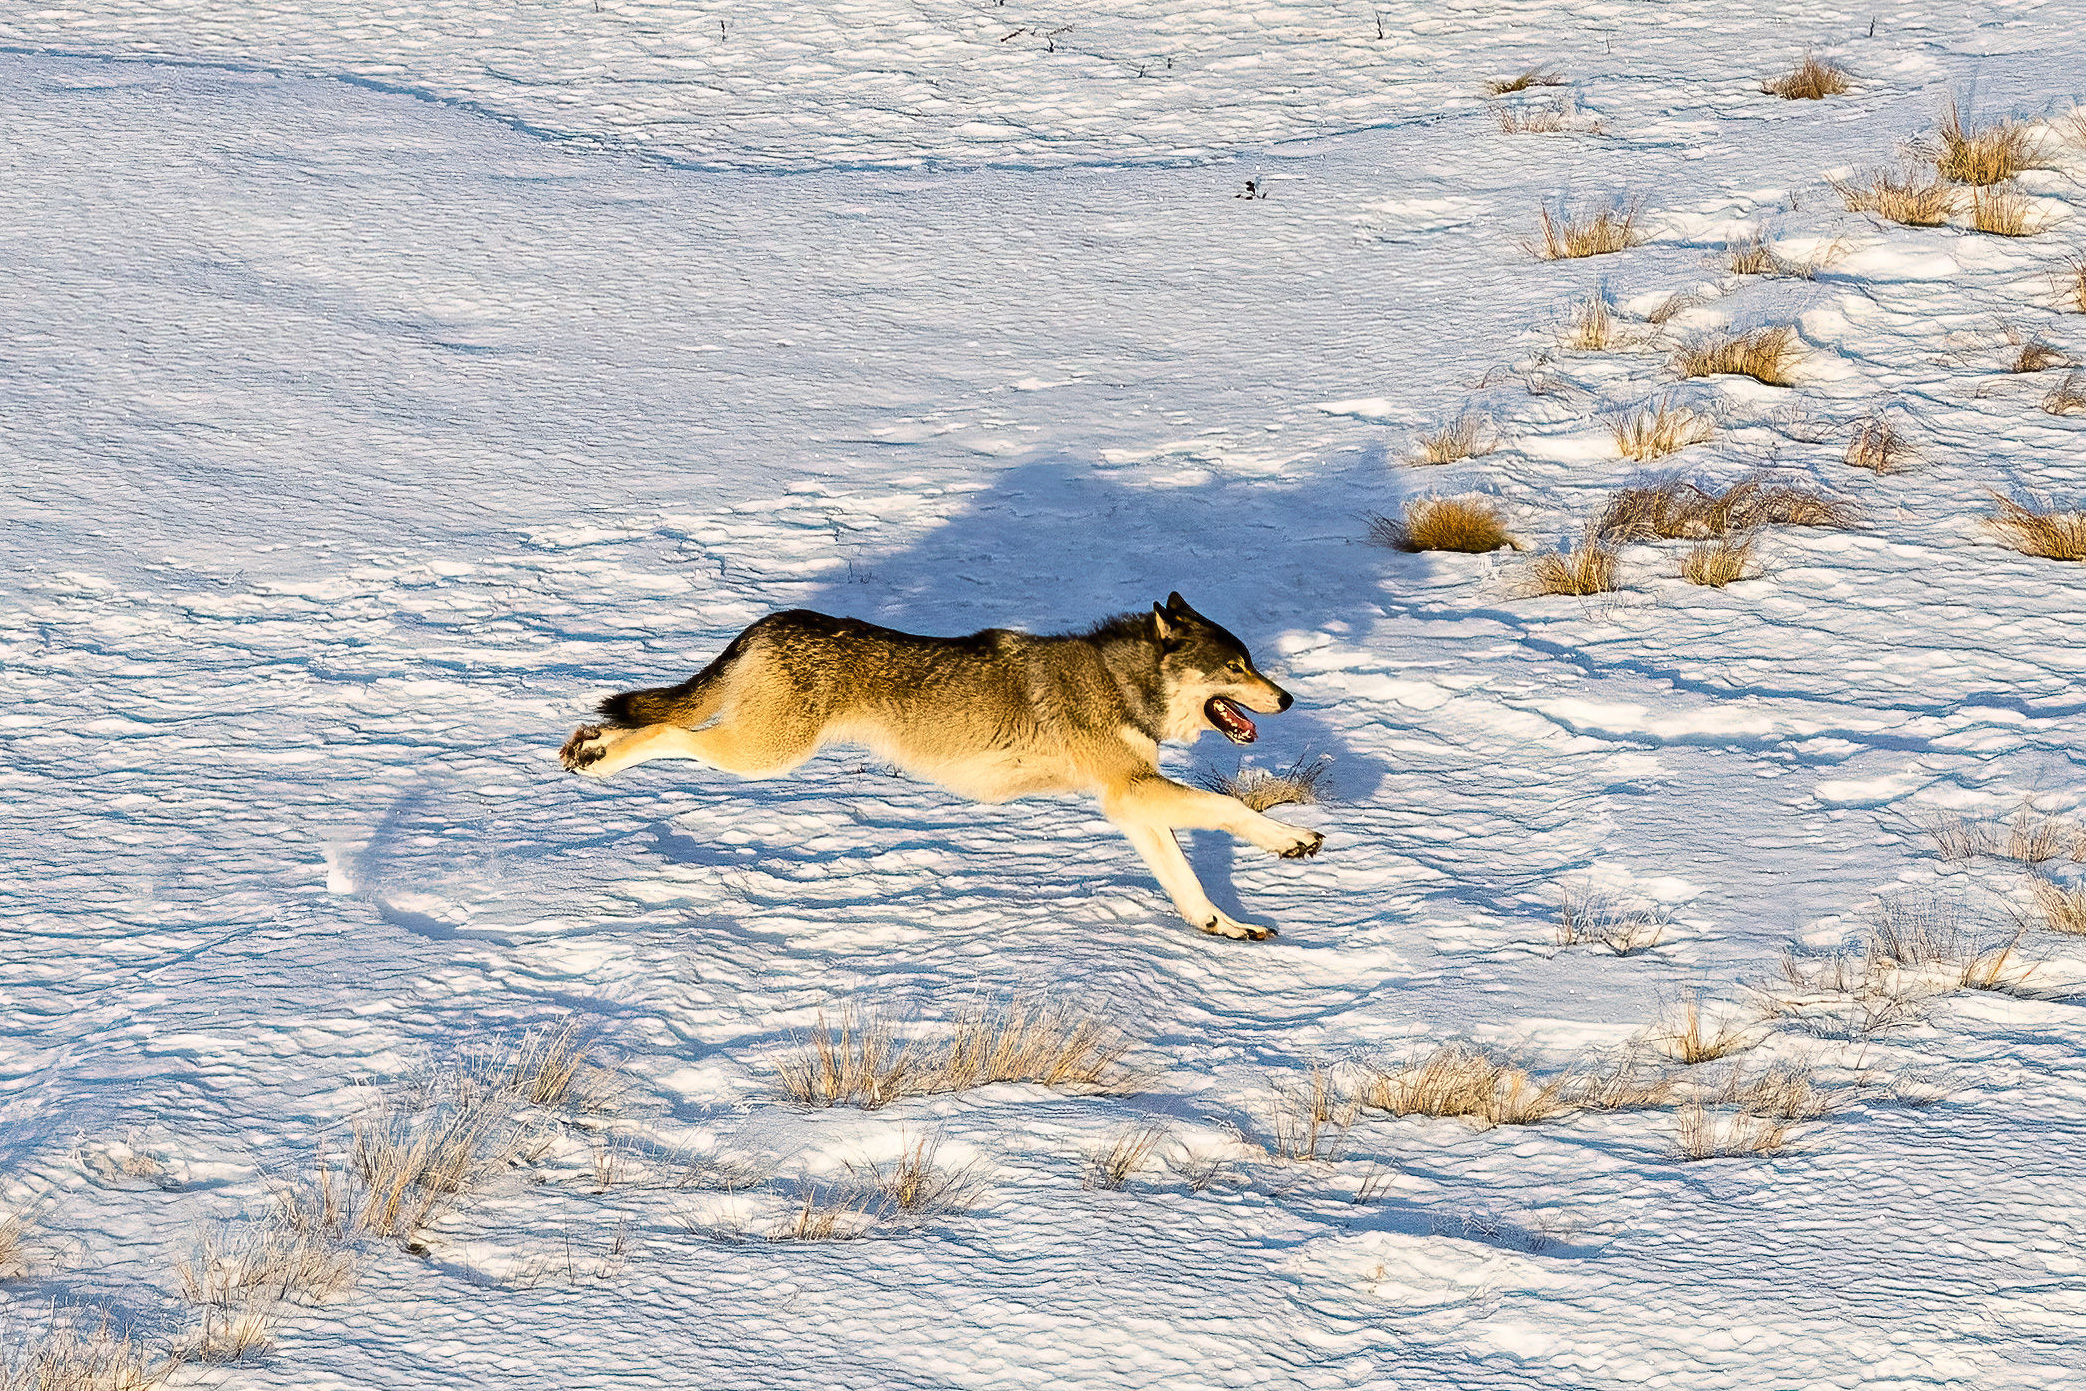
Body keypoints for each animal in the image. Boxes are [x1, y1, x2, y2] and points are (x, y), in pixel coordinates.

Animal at [558, 593, 1322, 940]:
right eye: (1235, 667)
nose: (1287, 697)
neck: (1120, 683)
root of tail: (771, 621)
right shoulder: (1131, 791)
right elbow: (1229, 807)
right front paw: (1294, 840)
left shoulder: (1130, 803)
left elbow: (1186, 882)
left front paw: (1226, 927)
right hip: (762, 755)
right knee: (664, 729)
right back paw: (594, 754)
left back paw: (585, 746)